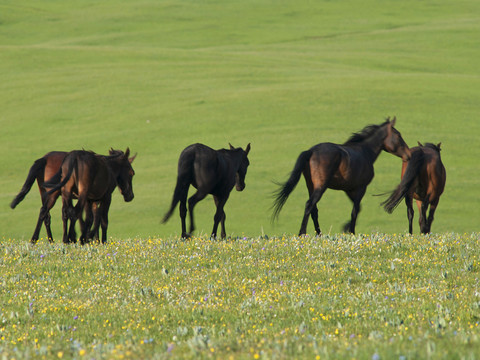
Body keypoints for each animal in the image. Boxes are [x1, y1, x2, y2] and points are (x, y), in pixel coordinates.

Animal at [272, 117, 410, 236]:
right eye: (398, 135)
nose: (408, 155)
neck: (365, 152)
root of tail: (311, 151)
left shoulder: (349, 190)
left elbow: (358, 209)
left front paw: (346, 228)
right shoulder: (361, 188)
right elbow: (355, 211)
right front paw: (351, 231)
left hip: (310, 186)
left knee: (314, 210)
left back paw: (319, 234)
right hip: (320, 187)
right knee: (309, 205)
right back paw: (302, 233)